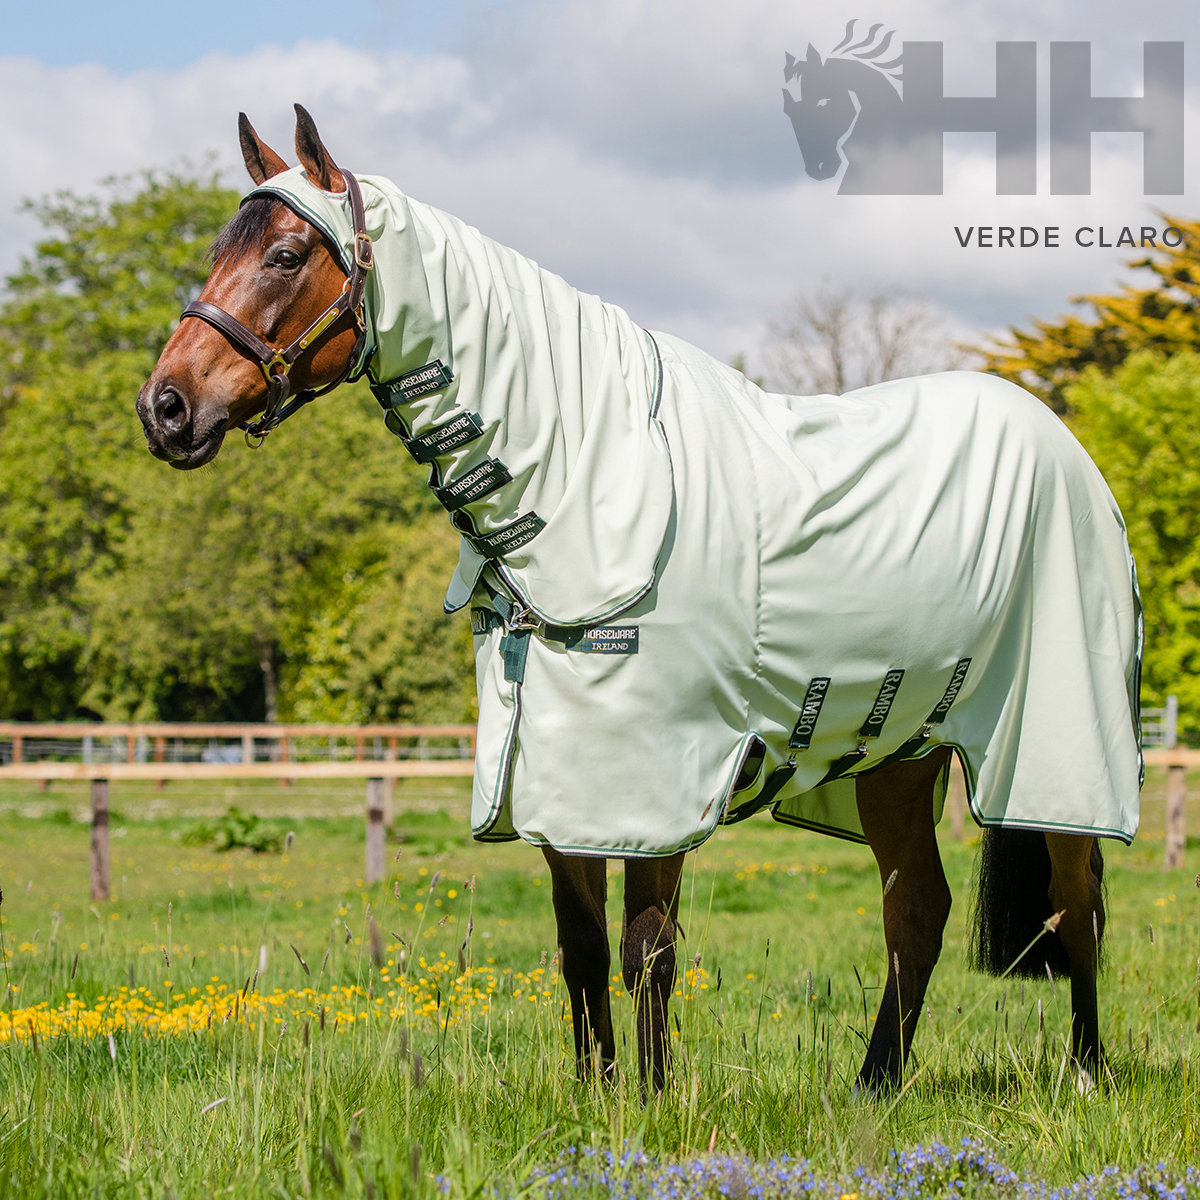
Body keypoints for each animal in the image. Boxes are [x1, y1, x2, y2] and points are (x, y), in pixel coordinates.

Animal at [137, 106, 1141, 1094]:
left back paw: (1085, 1072)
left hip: (1055, 749)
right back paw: (875, 1087)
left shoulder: (658, 782)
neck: (588, 482)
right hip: (898, 754)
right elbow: (580, 950)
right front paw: (600, 1098)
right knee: (918, 913)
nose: (165, 408)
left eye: (284, 255)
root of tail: (1065, 446)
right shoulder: (555, 778)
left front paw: (651, 1104)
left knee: (1077, 903)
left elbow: (646, 949)